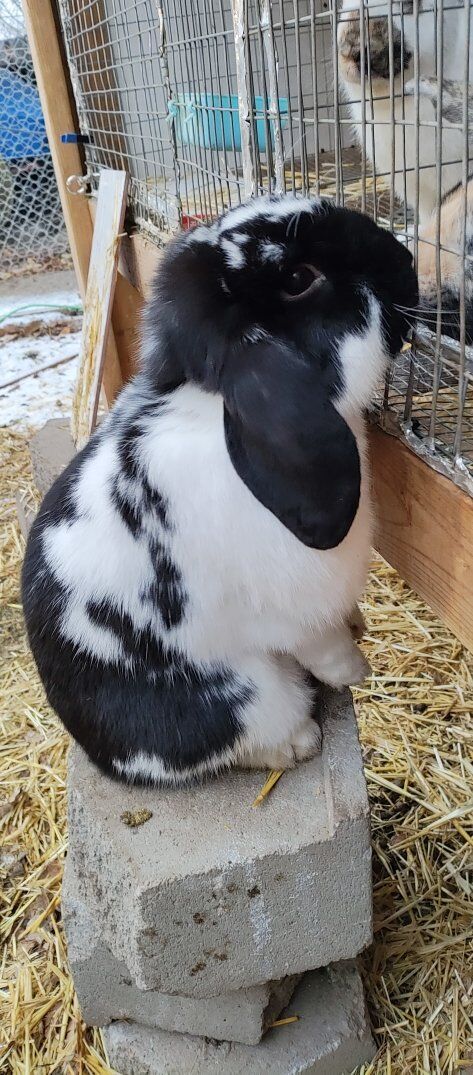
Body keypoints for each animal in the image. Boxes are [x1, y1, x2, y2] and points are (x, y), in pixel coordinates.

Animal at [22, 193, 417, 787]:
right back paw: (300, 744)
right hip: (249, 698)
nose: (407, 263)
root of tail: (104, 755)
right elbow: (327, 649)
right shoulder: (298, 615)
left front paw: (361, 624)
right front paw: (358, 671)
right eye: (298, 279)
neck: (207, 403)